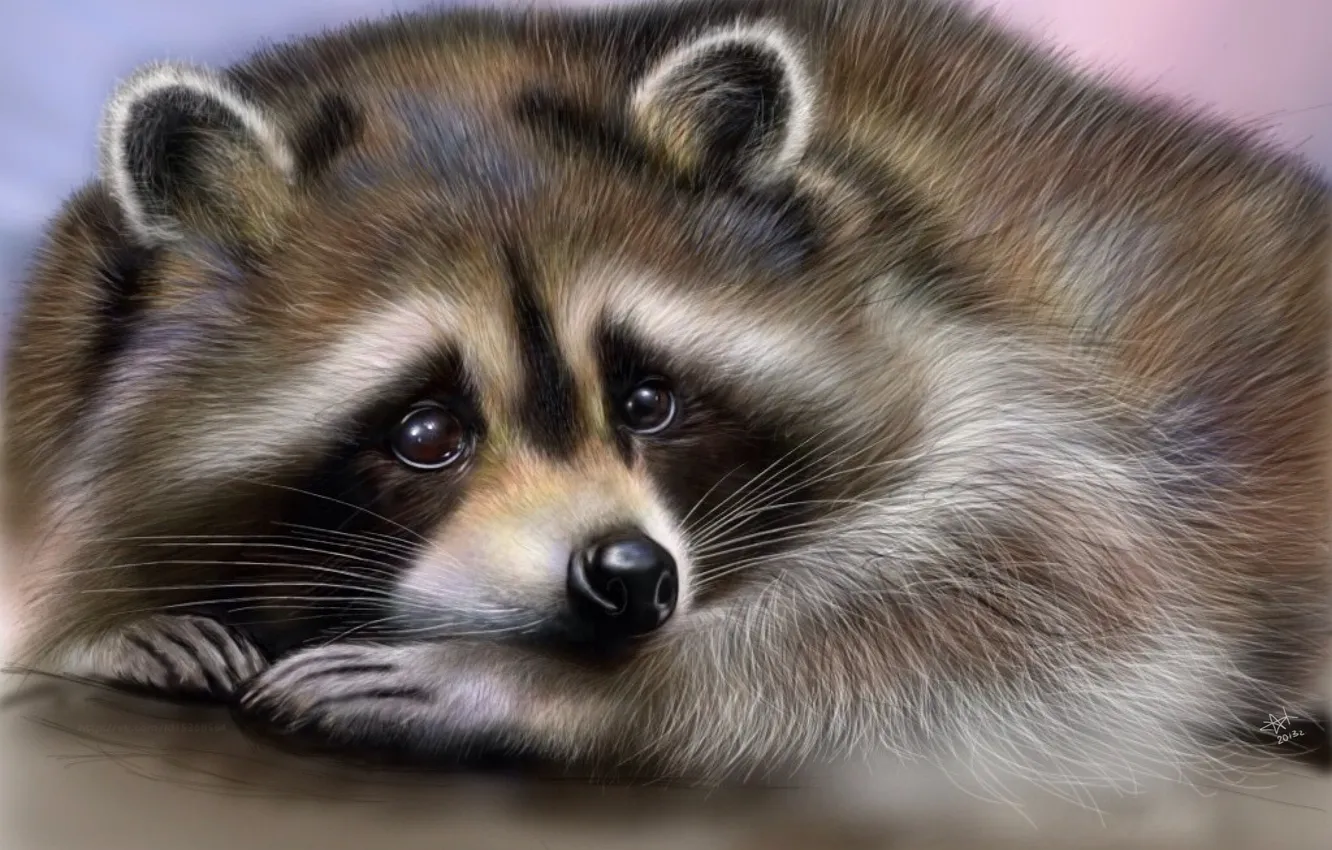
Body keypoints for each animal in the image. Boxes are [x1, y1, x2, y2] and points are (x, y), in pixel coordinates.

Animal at [2, 0, 1328, 784]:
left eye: (648, 401)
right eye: (426, 430)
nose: (629, 576)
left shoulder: (992, 362)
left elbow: (1060, 586)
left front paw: (550, 691)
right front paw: (102, 621)